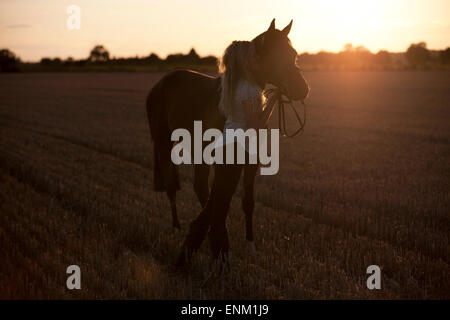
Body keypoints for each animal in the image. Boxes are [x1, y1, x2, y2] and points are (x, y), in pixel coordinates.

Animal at [147, 18, 310, 266]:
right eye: (274, 55)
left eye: (293, 54)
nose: (301, 89)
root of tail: (161, 83)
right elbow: (221, 196)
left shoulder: (250, 159)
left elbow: (247, 200)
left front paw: (250, 246)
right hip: (164, 143)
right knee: (173, 183)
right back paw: (177, 227)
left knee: (200, 187)